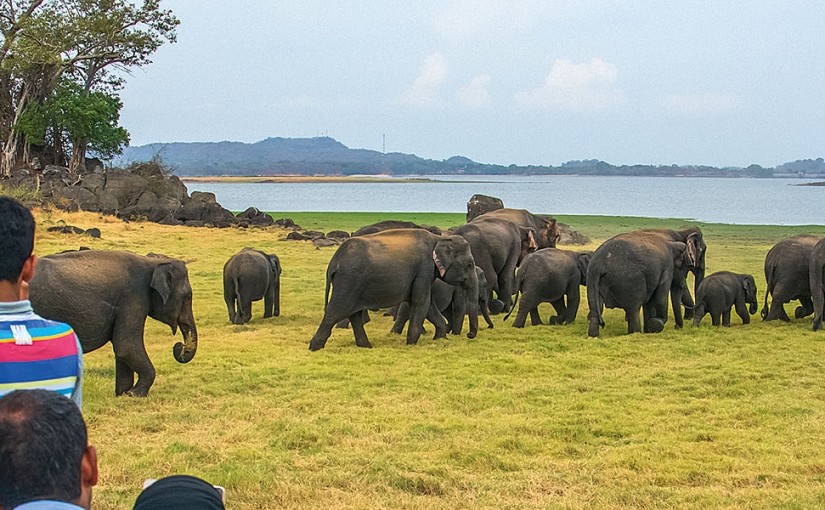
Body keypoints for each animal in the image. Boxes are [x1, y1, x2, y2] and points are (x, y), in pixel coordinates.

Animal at [29, 250, 198, 397]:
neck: (152, 262)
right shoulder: (133, 299)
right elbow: (126, 346)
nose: (179, 346)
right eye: (188, 297)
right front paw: (135, 394)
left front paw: (123, 393)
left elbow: (122, 349)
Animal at [308, 229, 476, 350]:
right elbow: (421, 302)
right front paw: (411, 344)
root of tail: (333, 262)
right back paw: (314, 347)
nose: (469, 335)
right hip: (348, 280)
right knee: (335, 311)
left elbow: (426, 304)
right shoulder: (423, 268)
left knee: (353, 314)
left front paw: (440, 339)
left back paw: (366, 346)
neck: (437, 239)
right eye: (469, 265)